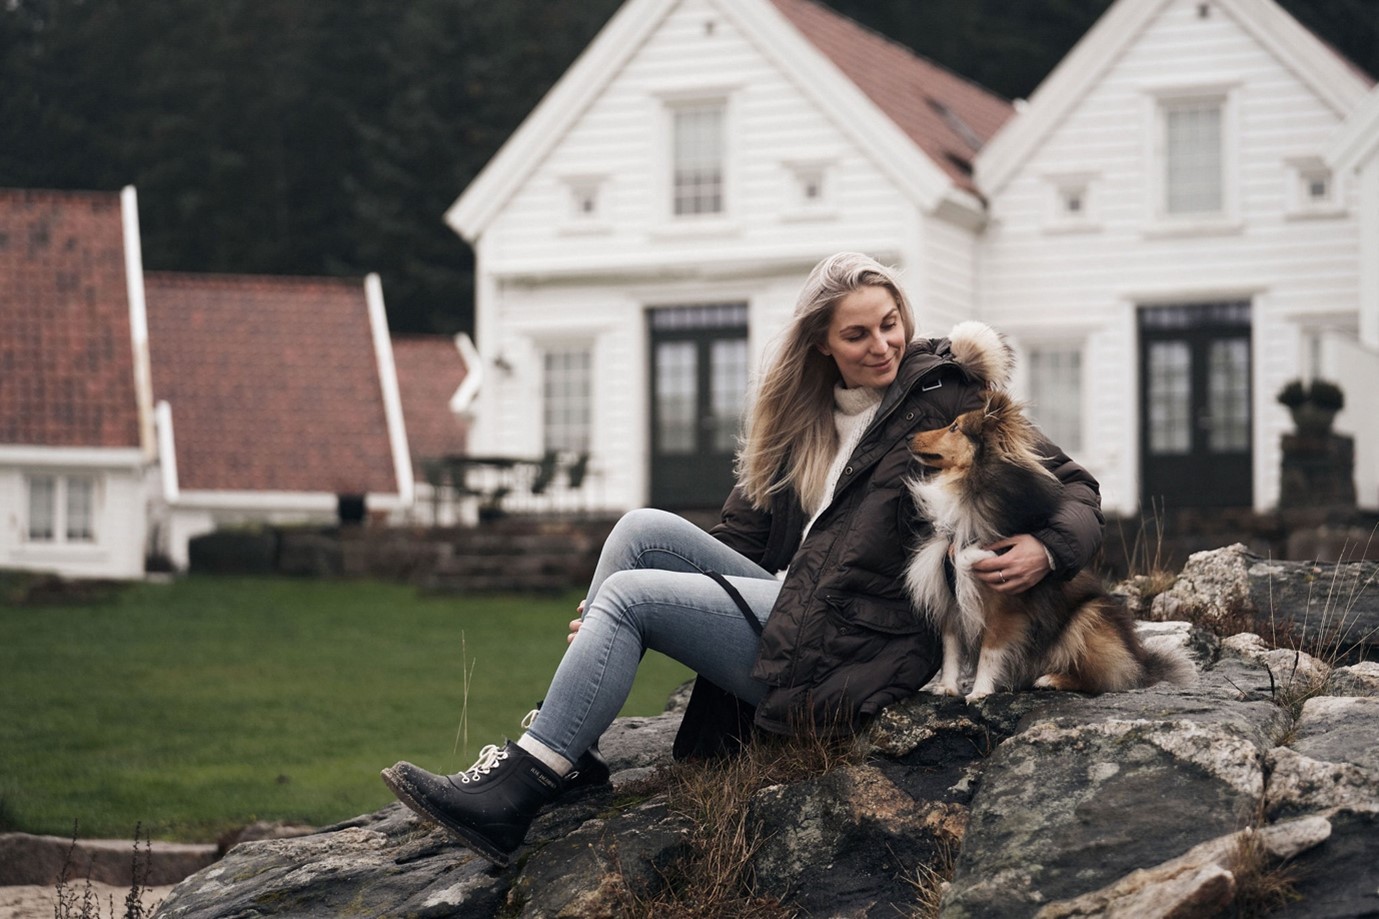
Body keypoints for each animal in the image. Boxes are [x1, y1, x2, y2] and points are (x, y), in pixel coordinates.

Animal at [904, 321, 1196, 700]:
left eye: (955, 427)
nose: (909, 438)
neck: (968, 489)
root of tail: (1142, 663)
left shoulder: (1004, 602)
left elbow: (990, 650)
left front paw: (980, 692)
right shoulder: (950, 598)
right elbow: (951, 650)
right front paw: (948, 688)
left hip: (1088, 618)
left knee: (1101, 678)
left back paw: (1052, 679)